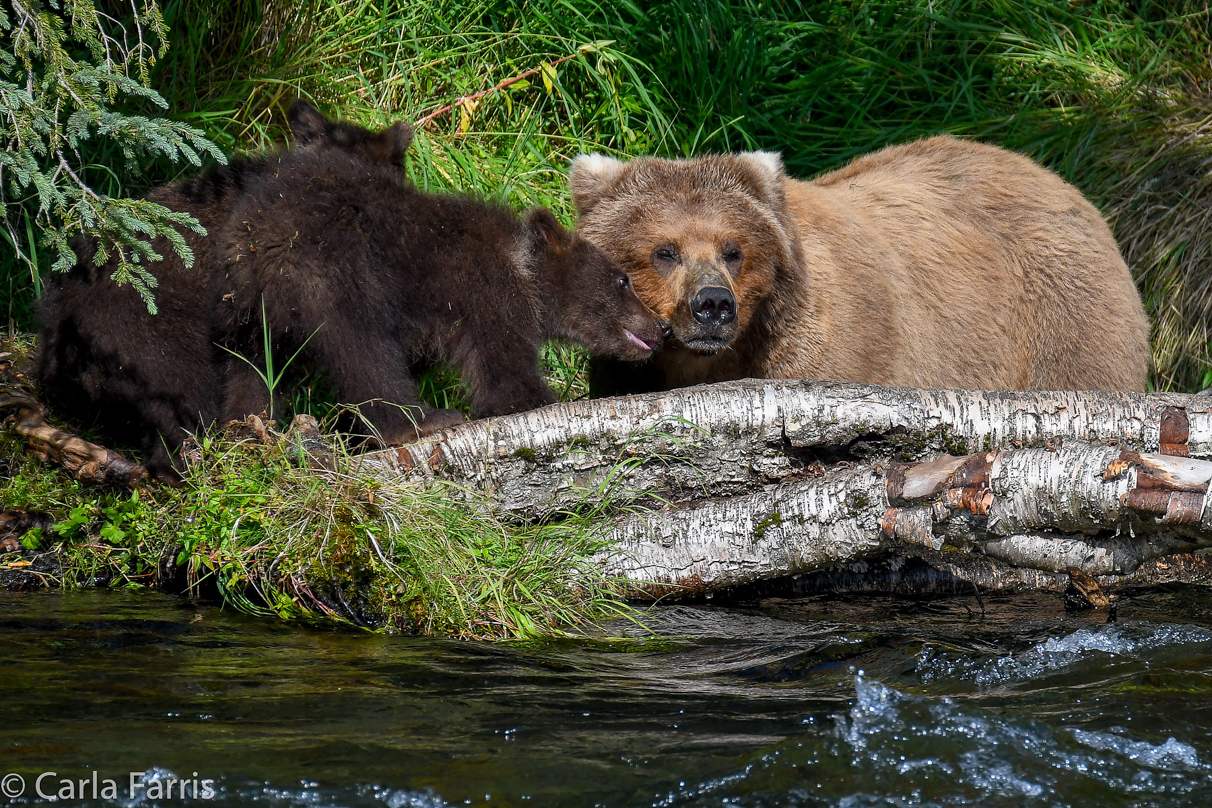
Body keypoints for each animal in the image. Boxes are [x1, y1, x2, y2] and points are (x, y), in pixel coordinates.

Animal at [572, 138, 1148, 394]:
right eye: (664, 251)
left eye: (733, 249)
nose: (712, 305)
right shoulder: (629, 371)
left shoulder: (834, 349)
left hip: (1061, 318)